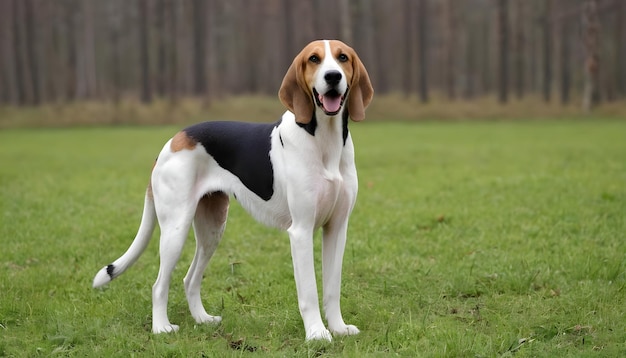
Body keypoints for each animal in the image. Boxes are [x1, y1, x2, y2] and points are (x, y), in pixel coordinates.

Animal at [92, 39, 370, 342]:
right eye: (314, 59)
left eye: (342, 58)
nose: (333, 77)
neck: (324, 139)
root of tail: (172, 141)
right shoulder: (301, 231)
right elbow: (308, 291)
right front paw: (317, 334)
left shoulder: (337, 229)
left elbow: (332, 288)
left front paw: (338, 328)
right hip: (175, 230)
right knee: (159, 285)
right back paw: (161, 327)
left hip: (212, 230)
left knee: (189, 279)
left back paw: (202, 319)